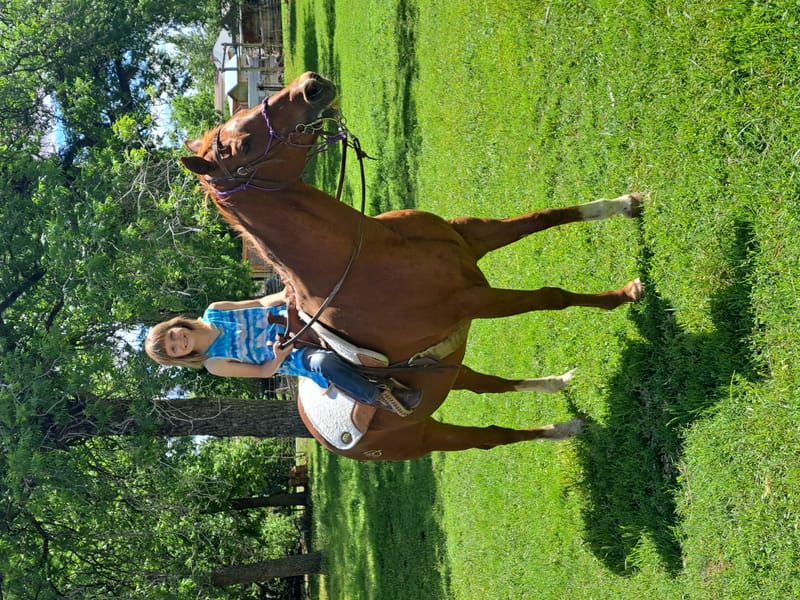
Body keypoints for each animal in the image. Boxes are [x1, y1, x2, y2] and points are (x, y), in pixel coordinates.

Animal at [180, 71, 643, 461]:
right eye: (243, 145)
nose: (310, 85)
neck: (371, 253)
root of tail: (319, 434)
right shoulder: (476, 300)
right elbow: (553, 297)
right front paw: (625, 294)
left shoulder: (472, 239)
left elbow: (549, 216)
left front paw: (626, 204)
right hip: (427, 434)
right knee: (492, 436)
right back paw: (563, 429)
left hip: (448, 368)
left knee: (487, 384)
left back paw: (555, 385)